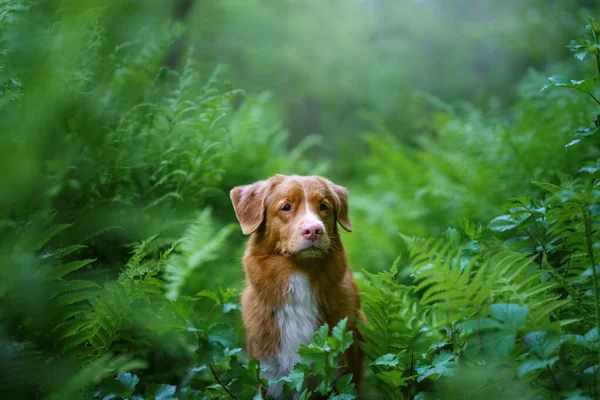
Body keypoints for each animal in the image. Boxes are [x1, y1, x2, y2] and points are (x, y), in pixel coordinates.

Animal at [230, 174, 364, 396]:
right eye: (286, 207)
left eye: (324, 206)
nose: (314, 230)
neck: (300, 275)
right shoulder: (270, 374)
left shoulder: (338, 372)